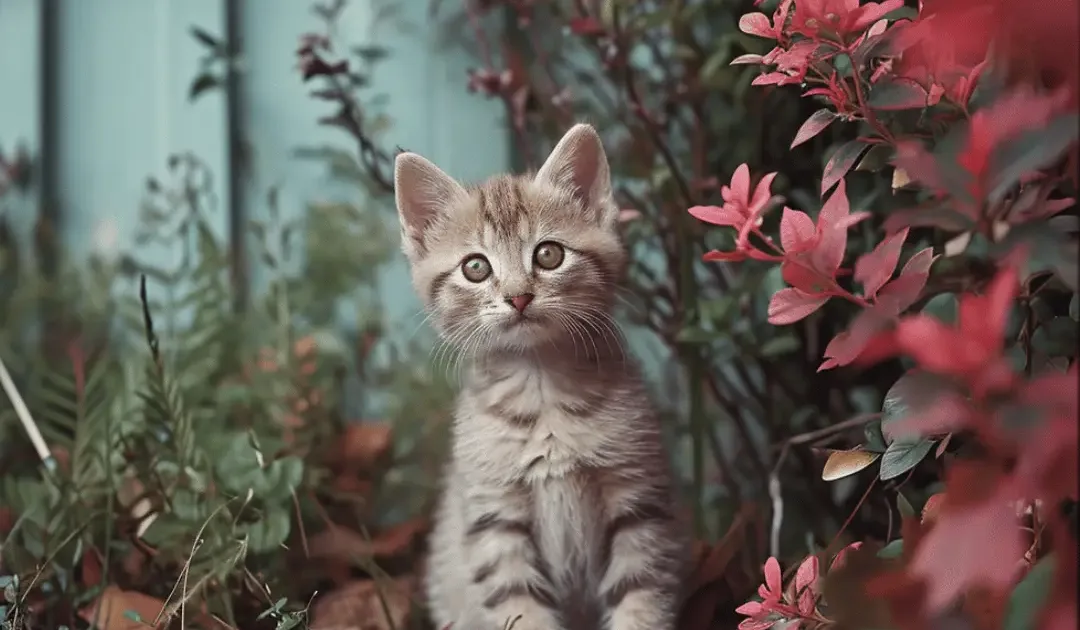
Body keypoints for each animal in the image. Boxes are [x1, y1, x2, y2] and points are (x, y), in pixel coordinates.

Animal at [393, 123, 686, 630]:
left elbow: (641, 599)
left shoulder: (639, 499)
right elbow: (519, 607)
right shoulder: (494, 521)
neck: (542, 389)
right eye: (475, 267)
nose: (518, 297)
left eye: (548, 255)